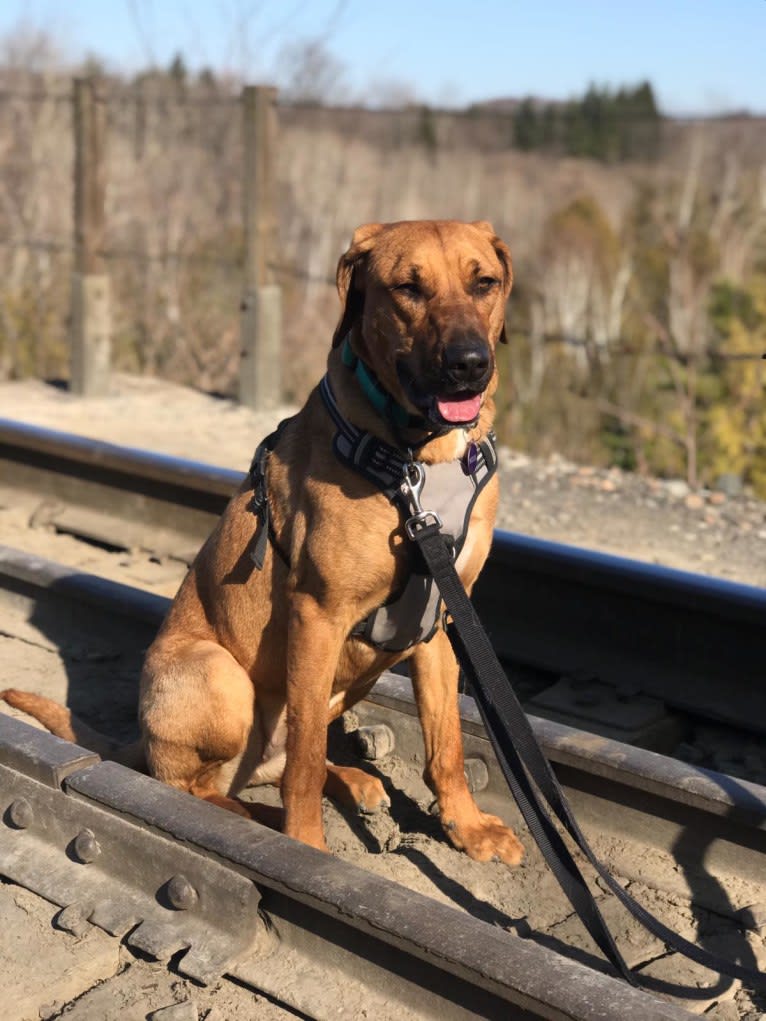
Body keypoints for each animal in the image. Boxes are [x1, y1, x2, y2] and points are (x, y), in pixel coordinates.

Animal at [3, 219, 527, 865]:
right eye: (408, 288)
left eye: (485, 283)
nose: (469, 364)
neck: (418, 461)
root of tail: (141, 745)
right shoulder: (318, 616)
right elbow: (303, 764)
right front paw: (304, 848)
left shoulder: (443, 622)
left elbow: (446, 743)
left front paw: (467, 827)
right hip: (220, 676)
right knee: (203, 786)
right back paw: (261, 821)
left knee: (279, 763)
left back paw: (349, 782)